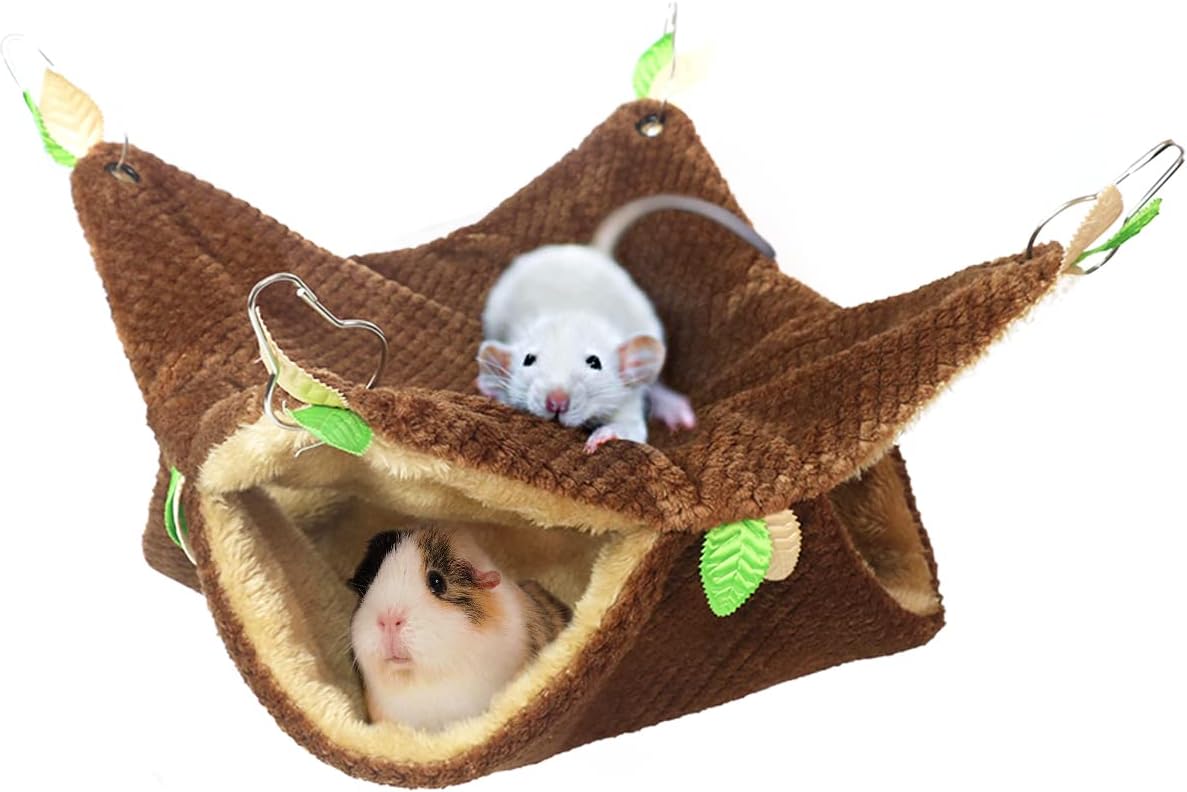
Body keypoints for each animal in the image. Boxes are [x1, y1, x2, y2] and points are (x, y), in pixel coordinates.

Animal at [477, 194, 775, 453]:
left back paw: (671, 406)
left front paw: (606, 434)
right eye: (528, 359)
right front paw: (492, 387)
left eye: (595, 362)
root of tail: (596, 256)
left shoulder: (627, 396)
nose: (557, 401)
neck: (572, 311)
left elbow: (633, 430)